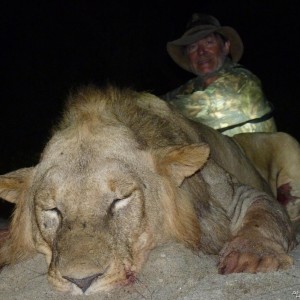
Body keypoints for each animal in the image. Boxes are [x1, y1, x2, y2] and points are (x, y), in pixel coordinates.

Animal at [0, 85, 296, 296]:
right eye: (53, 210)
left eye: (120, 200)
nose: (81, 281)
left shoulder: (237, 195)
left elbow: (265, 214)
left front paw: (251, 257)